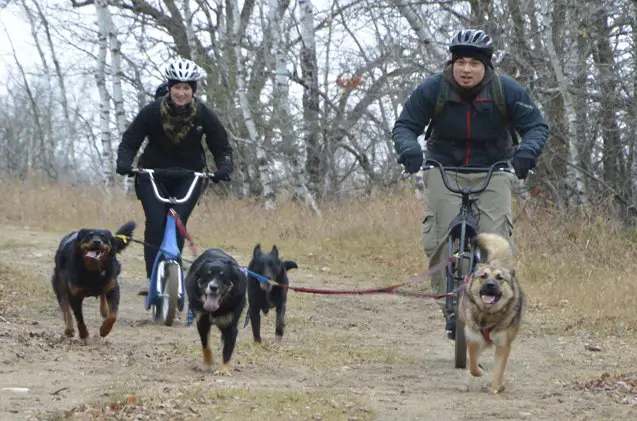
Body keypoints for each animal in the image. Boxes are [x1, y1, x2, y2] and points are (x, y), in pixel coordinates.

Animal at [185, 246, 247, 374]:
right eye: (208, 275)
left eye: (224, 277)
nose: (213, 287)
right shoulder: (202, 322)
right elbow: (206, 345)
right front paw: (207, 365)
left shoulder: (230, 326)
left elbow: (227, 350)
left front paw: (223, 369)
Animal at [460, 231, 524, 392]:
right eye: (483, 276)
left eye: (500, 278)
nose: (490, 285)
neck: (487, 314)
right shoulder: (473, 339)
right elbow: (473, 365)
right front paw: (478, 372)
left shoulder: (503, 345)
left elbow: (499, 370)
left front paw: (496, 388)